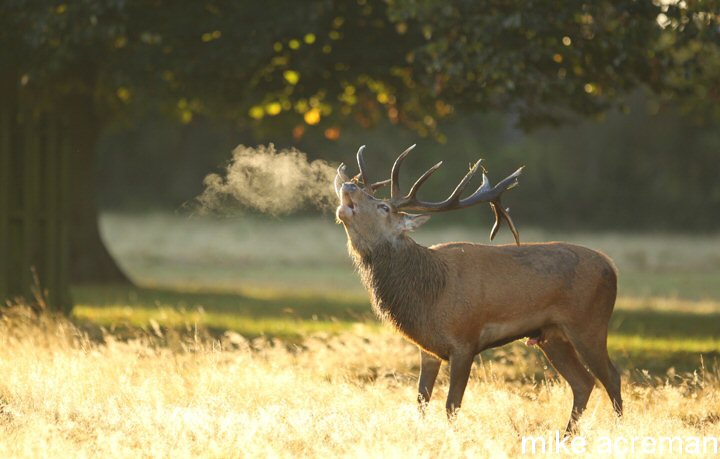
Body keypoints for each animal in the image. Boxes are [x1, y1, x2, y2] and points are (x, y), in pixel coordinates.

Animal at [334, 145, 622, 434]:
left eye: (383, 207)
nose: (348, 184)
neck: (429, 296)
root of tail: (610, 266)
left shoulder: (465, 340)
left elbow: (452, 405)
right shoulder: (428, 349)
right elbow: (421, 400)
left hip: (589, 323)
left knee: (612, 376)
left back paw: (618, 428)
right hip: (551, 336)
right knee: (583, 382)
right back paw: (566, 436)